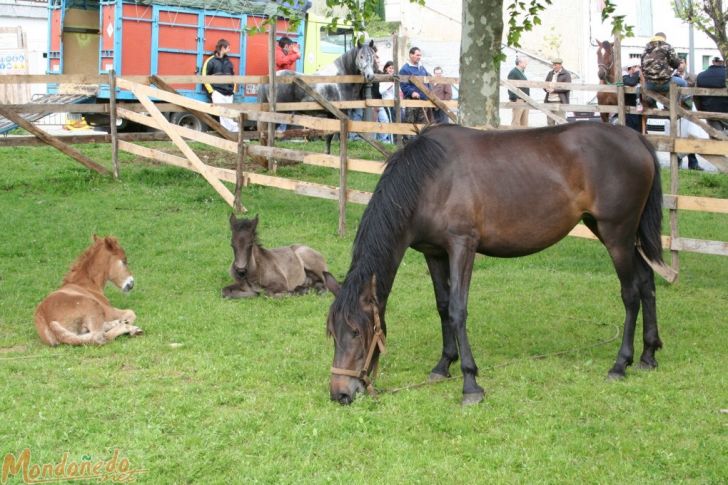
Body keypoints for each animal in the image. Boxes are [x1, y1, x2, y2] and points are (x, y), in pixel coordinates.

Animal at [328, 123, 668, 402]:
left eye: (357, 332)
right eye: (332, 333)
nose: (340, 393)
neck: (429, 179)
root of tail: (636, 138)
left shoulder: (462, 246)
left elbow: (457, 310)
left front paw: (470, 383)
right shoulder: (433, 252)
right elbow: (442, 306)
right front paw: (443, 365)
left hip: (617, 234)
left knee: (631, 294)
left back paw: (620, 364)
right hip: (611, 231)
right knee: (647, 282)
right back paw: (648, 355)